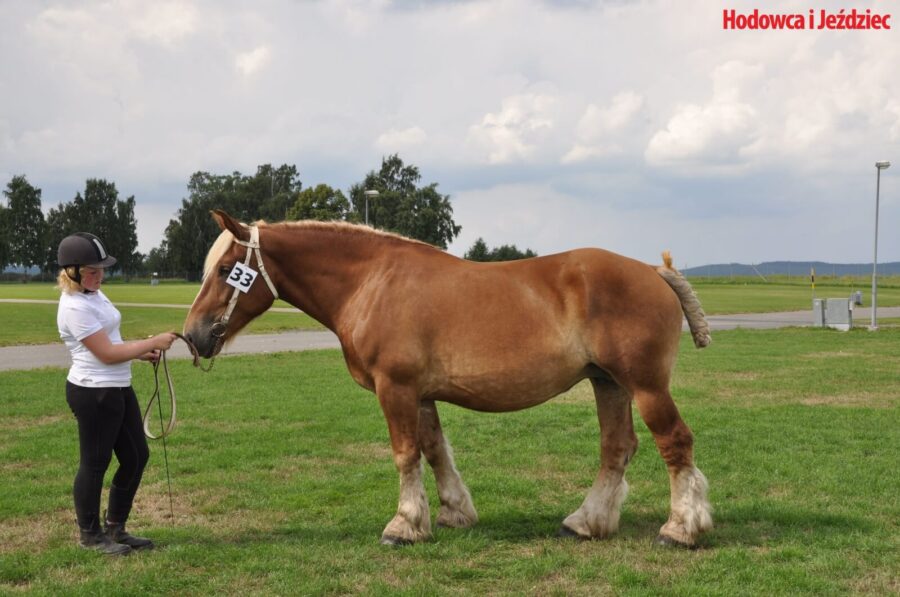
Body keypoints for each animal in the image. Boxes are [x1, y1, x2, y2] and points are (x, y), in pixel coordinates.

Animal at [183, 208, 712, 544]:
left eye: (227, 268)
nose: (193, 335)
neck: (372, 282)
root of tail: (653, 270)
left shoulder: (394, 388)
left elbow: (405, 454)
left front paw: (403, 525)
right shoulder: (420, 394)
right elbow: (434, 450)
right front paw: (453, 513)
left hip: (645, 386)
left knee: (675, 442)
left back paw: (681, 528)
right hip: (608, 383)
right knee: (617, 448)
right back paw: (586, 522)